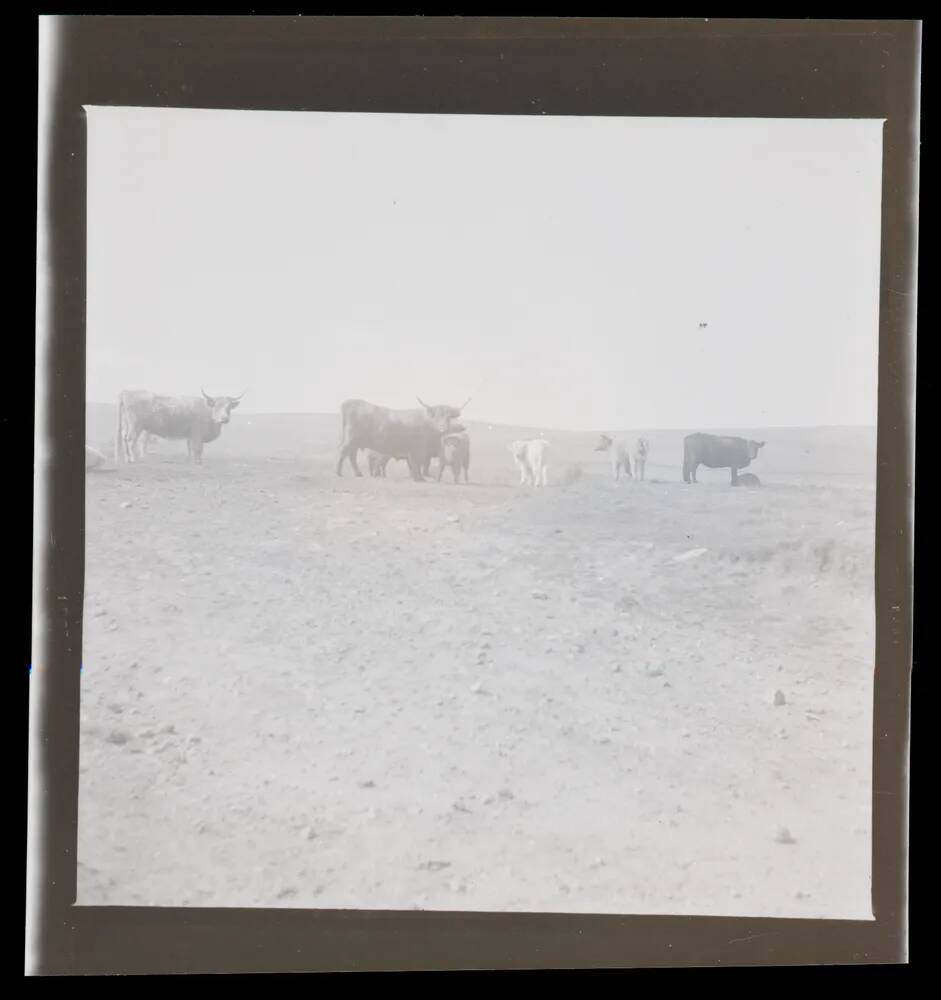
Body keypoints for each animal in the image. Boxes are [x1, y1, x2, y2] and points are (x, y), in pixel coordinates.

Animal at [338, 396, 470, 482]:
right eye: (435, 416)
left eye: (448, 417)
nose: (442, 429)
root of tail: (349, 402)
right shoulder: (416, 450)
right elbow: (417, 464)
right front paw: (419, 478)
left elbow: (417, 465)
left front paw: (419, 477)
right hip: (351, 438)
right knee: (344, 452)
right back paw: (339, 472)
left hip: (355, 442)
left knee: (351, 455)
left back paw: (358, 473)